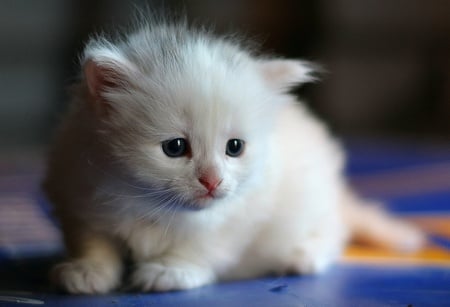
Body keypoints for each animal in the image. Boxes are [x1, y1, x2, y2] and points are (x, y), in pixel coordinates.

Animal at [44, 20, 426, 294]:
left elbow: (200, 245)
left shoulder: (238, 218)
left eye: (235, 147)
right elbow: (94, 242)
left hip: (314, 201)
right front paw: (87, 272)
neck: (149, 205)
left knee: (334, 233)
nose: (212, 181)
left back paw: (302, 256)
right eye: (175, 148)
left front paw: (170, 270)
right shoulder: (77, 195)